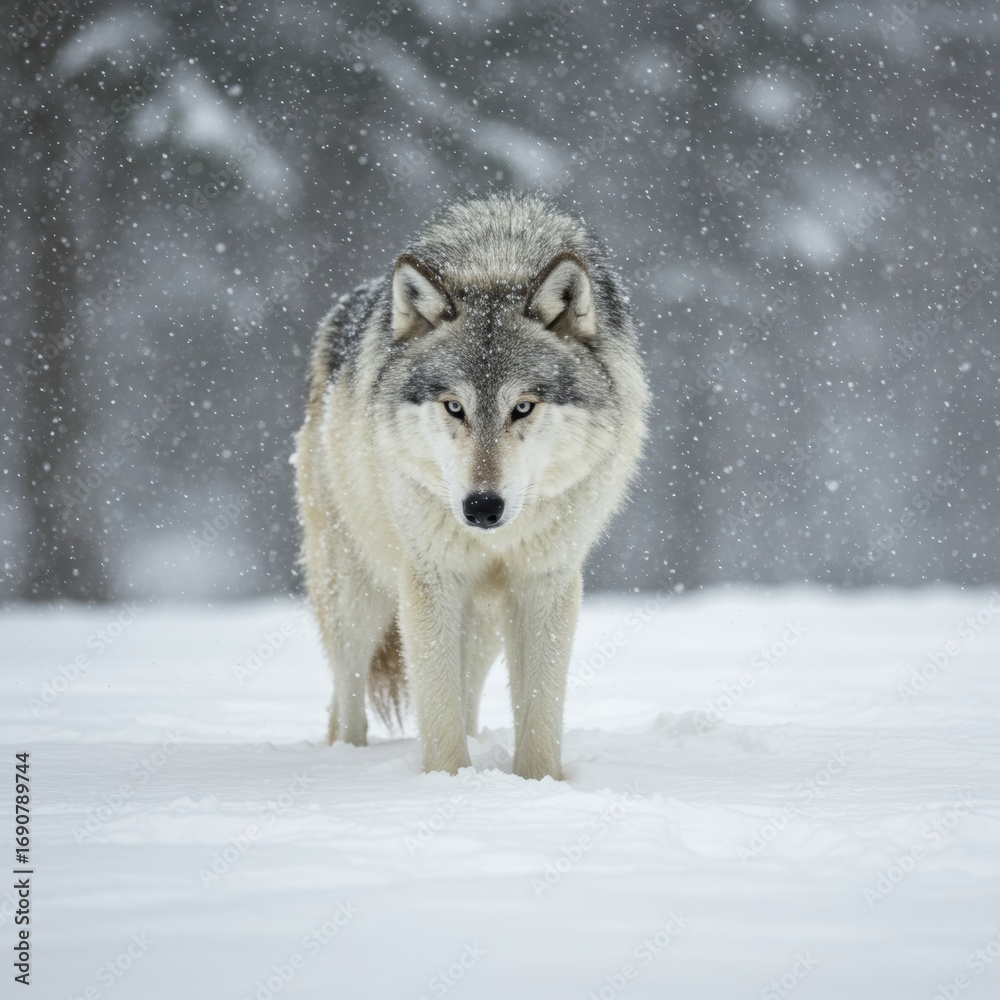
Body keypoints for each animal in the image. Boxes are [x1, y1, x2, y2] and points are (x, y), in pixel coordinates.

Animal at [295, 193, 647, 780]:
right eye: (454, 407)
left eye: (522, 407)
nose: (482, 507)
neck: (495, 261)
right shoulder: (430, 581)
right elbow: (438, 713)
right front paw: (450, 785)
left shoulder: (545, 583)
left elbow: (539, 712)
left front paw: (536, 784)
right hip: (355, 593)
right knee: (347, 699)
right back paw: (348, 760)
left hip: (480, 625)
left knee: (469, 695)